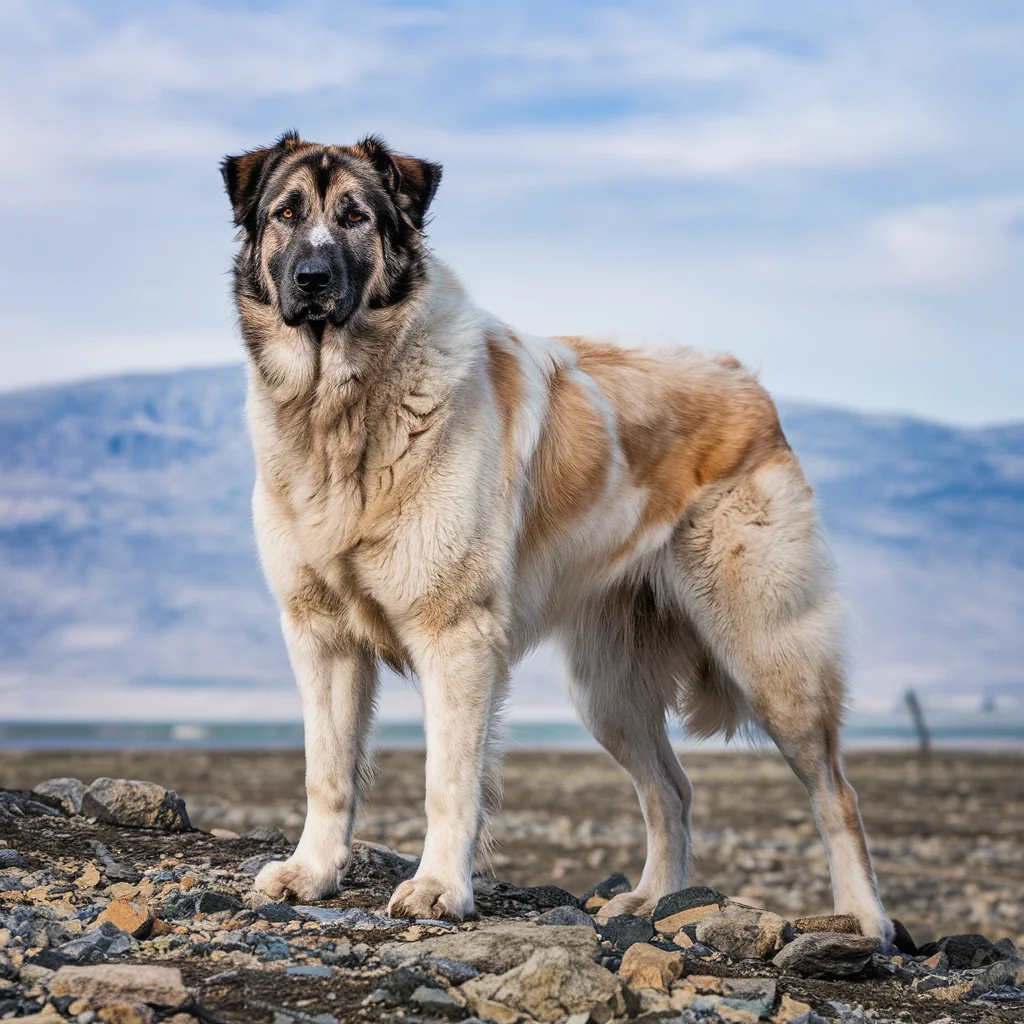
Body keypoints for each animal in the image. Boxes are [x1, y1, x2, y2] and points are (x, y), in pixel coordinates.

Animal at [222, 132, 888, 937]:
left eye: (355, 217)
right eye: (286, 214)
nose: (312, 278)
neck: (342, 410)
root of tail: (745, 381)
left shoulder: (456, 638)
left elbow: (449, 781)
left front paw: (439, 888)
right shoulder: (321, 635)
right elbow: (329, 772)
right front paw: (313, 872)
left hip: (770, 655)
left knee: (837, 795)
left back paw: (866, 920)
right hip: (610, 693)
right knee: (672, 790)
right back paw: (655, 898)